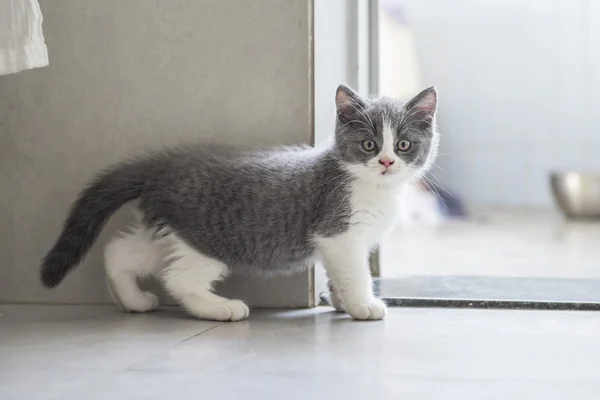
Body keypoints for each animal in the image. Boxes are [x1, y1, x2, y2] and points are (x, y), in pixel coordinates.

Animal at [39, 84, 438, 322]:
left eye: (403, 145)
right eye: (369, 145)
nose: (386, 162)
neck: (374, 187)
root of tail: (163, 166)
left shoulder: (334, 244)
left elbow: (337, 271)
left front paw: (338, 300)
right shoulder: (339, 231)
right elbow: (355, 271)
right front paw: (362, 305)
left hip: (169, 228)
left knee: (119, 252)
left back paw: (132, 300)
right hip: (207, 238)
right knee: (178, 277)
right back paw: (220, 308)